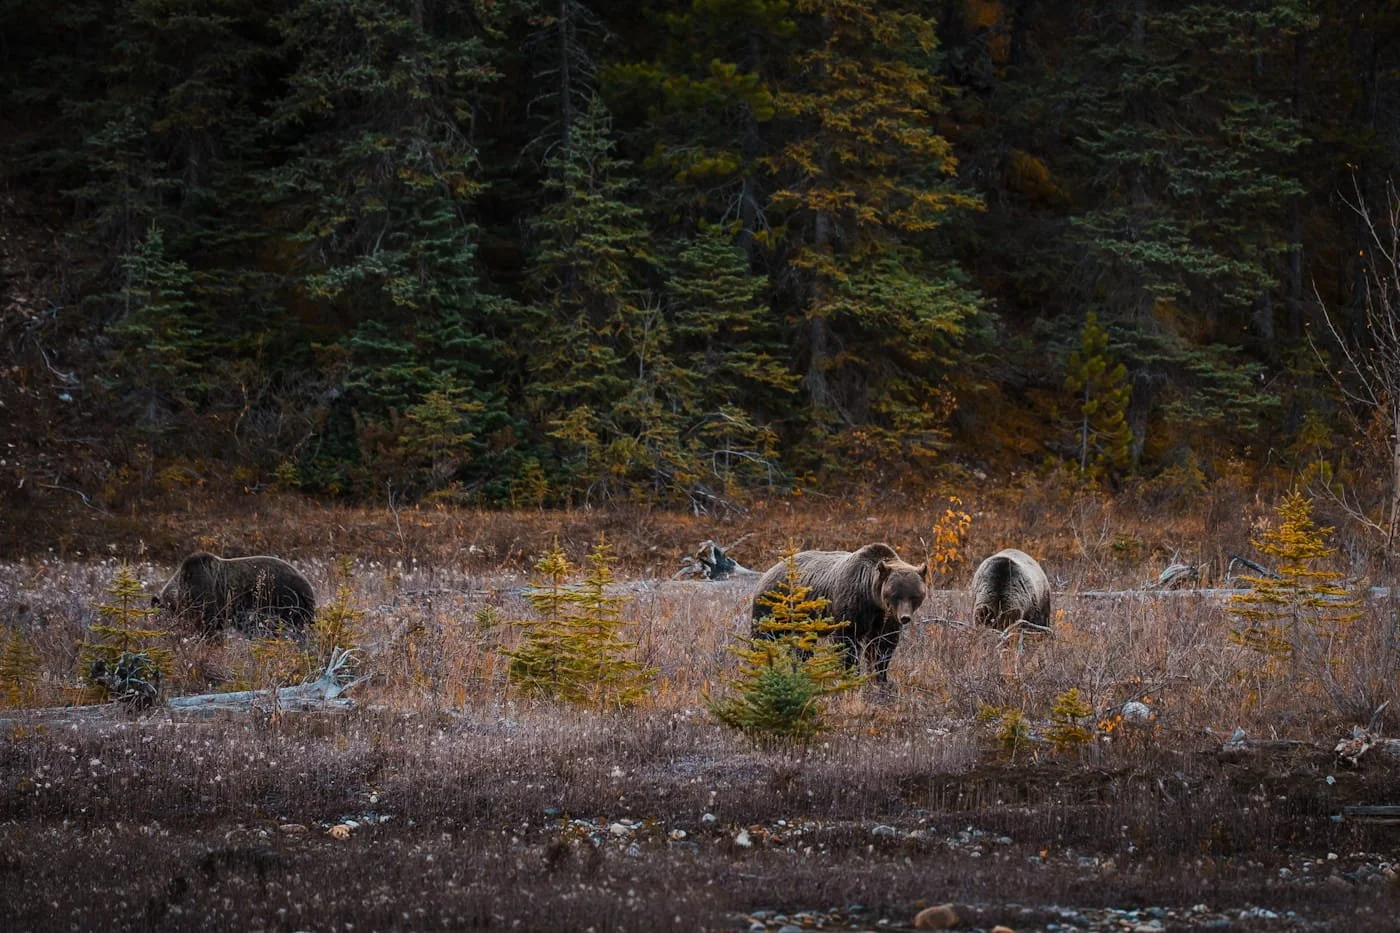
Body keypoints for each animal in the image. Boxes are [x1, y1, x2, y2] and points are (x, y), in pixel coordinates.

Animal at [750, 543, 930, 683]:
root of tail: (769, 570)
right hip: (774, 605)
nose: (905, 617)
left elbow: (883, 646)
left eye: (914, 595)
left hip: (804, 619)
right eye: (895, 594)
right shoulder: (853, 605)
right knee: (762, 636)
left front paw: (881, 679)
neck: (873, 599)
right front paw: (852, 676)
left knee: (804, 646)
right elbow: (847, 641)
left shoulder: (884, 618)